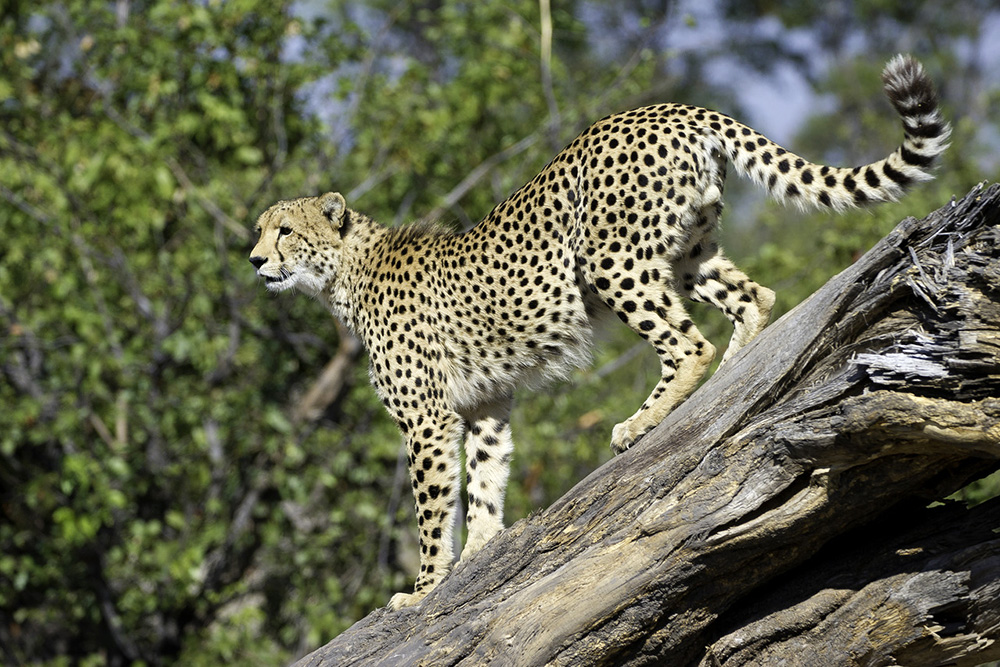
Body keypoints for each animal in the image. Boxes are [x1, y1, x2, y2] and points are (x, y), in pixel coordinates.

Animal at [248, 54, 944, 612]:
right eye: (262, 230)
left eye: (284, 231)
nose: (254, 260)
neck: (343, 273)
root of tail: (667, 106)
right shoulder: (485, 404)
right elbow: (483, 483)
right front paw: (478, 556)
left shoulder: (427, 419)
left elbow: (432, 507)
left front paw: (421, 589)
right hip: (687, 249)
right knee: (753, 297)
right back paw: (733, 382)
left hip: (610, 259)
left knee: (688, 342)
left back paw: (643, 422)